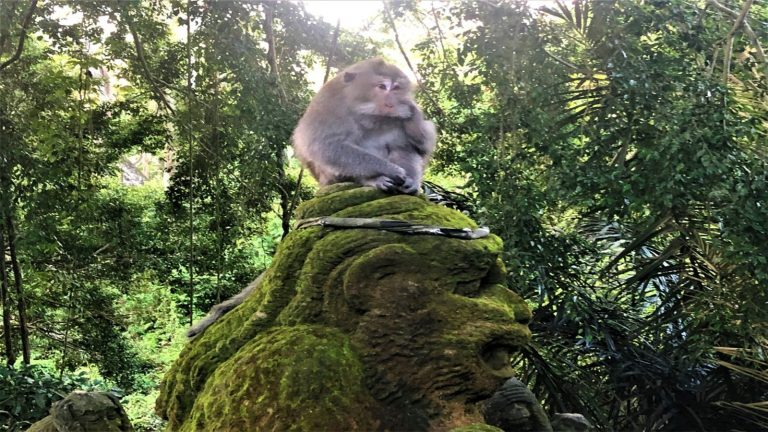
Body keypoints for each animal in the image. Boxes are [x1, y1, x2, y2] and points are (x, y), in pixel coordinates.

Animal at [292, 58, 436, 195]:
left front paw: (413, 110)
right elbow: (326, 146)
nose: (390, 104)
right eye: (382, 86)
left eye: (396, 88)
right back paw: (371, 179)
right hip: (329, 179)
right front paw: (391, 170)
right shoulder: (328, 105)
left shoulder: (398, 117)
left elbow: (418, 145)